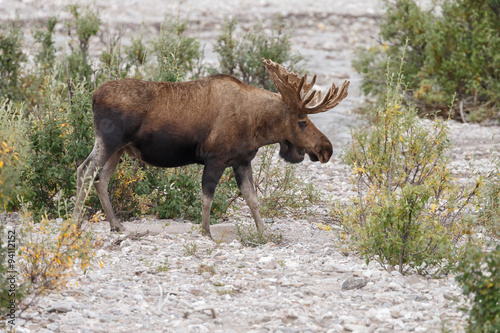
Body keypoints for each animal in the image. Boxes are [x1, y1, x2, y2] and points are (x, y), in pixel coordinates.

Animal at [72, 58, 350, 237]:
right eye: (302, 121)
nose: (326, 148)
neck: (257, 126)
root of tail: (94, 97)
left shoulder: (242, 161)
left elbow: (252, 199)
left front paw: (263, 231)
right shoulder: (215, 159)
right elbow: (207, 198)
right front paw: (206, 232)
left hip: (119, 149)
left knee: (101, 179)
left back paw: (116, 225)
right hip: (109, 141)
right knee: (84, 171)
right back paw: (75, 223)